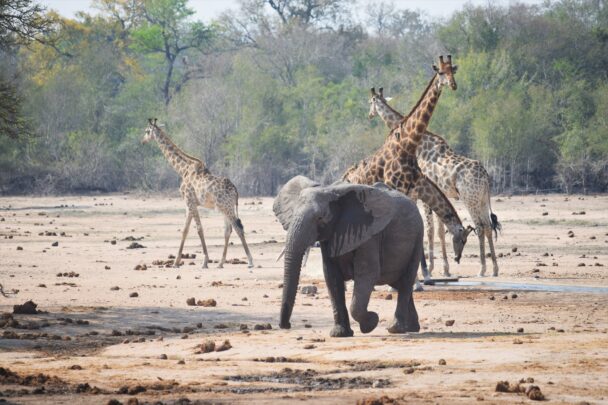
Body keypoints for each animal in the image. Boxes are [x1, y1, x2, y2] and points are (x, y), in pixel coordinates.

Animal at [143, 117, 254, 270]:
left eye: (147, 131)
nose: (142, 140)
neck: (182, 169)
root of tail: (235, 191)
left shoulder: (190, 201)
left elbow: (199, 229)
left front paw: (205, 261)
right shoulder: (189, 203)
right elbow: (185, 230)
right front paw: (175, 262)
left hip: (227, 207)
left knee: (238, 228)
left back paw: (250, 261)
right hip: (224, 208)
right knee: (228, 230)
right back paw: (220, 263)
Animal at [274, 175, 426, 336]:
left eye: (320, 218)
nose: (286, 325)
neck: (329, 190)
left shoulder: (370, 234)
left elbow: (367, 273)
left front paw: (371, 322)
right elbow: (331, 276)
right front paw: (340, 334)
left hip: (418, 237)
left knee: (406, 281)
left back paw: (396, 329)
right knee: (399, 283)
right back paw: (412, 328)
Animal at [340, 55, 472, 280]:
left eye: (452, 70)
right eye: (441, 72)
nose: (453, 85)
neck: (408, 145)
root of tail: (345, 176)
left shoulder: (410, 192)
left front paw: (422, 275)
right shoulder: (400, 190)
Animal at [368, 87, 502, 276]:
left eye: (370, 102)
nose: (369, 115)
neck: (418, 144)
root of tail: (485, 176)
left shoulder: (419, 192)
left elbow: (430, 230)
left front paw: (430, 269)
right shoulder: (436, 192)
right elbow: (440, 230)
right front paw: (445, 269)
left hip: (470, 199)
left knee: (480, 226)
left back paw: (482, 269)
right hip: (482, 199)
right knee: (489, 226)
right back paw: (495, 269)